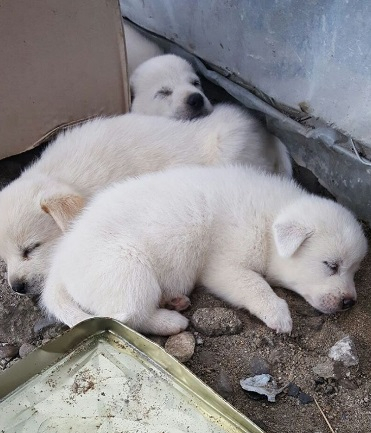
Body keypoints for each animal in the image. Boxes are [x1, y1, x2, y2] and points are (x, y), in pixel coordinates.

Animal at [42, 164, 368, 336]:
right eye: (331, 265)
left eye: (354, 270)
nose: (349, 302)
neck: (269, 220)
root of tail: (58, 266)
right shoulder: (223, 267)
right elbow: (256, 285)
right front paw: (278, 313)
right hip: (129, 267)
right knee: (126, 316)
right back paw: (171, 321)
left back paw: (174, 301)